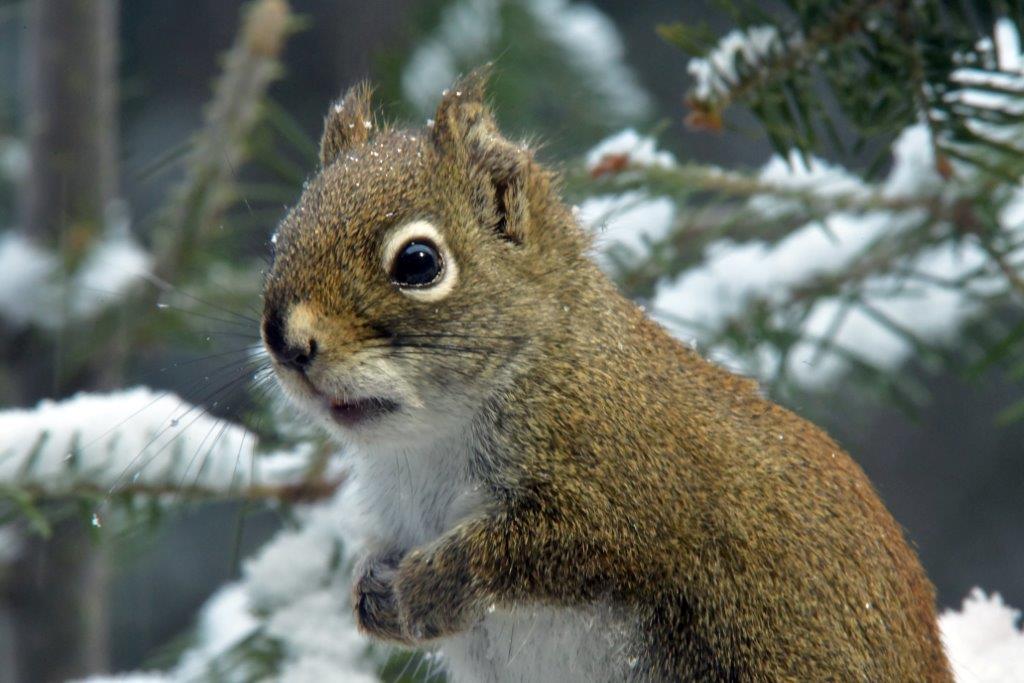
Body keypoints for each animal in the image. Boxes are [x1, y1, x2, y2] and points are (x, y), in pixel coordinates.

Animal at [260, 67, 952, 682]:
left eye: (418, 262)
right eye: (281, 237)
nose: (286, 341)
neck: (432, 439)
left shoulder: (632, 485)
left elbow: (554, 548)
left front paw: (434, 583)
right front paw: (371, 597)